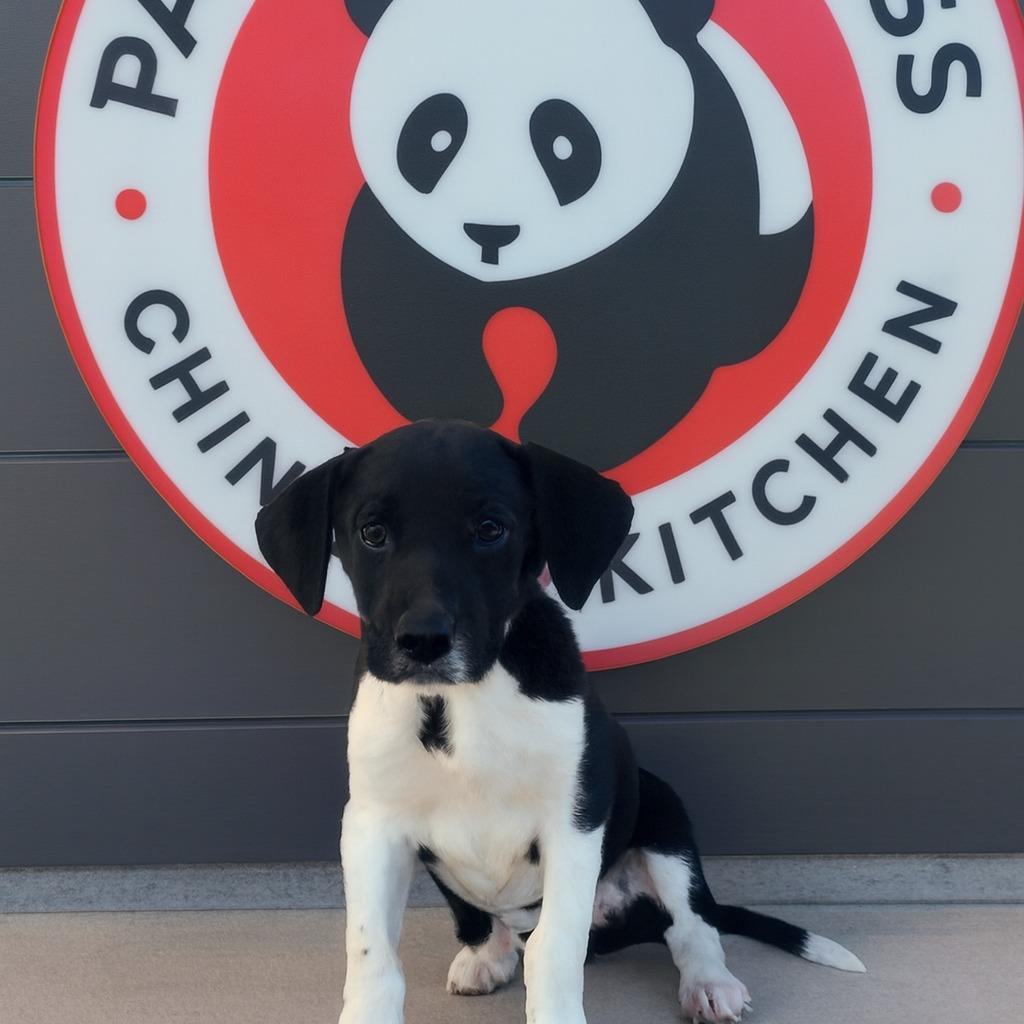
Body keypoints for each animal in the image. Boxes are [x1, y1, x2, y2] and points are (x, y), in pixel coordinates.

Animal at [342, 0, 814, 471]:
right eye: (436, 137)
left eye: (564, 143)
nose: (490, 234)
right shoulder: (396, 236)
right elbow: (408, 307)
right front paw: (468, 405)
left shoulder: (692, 210)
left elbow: (643, 342)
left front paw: (559, 429)